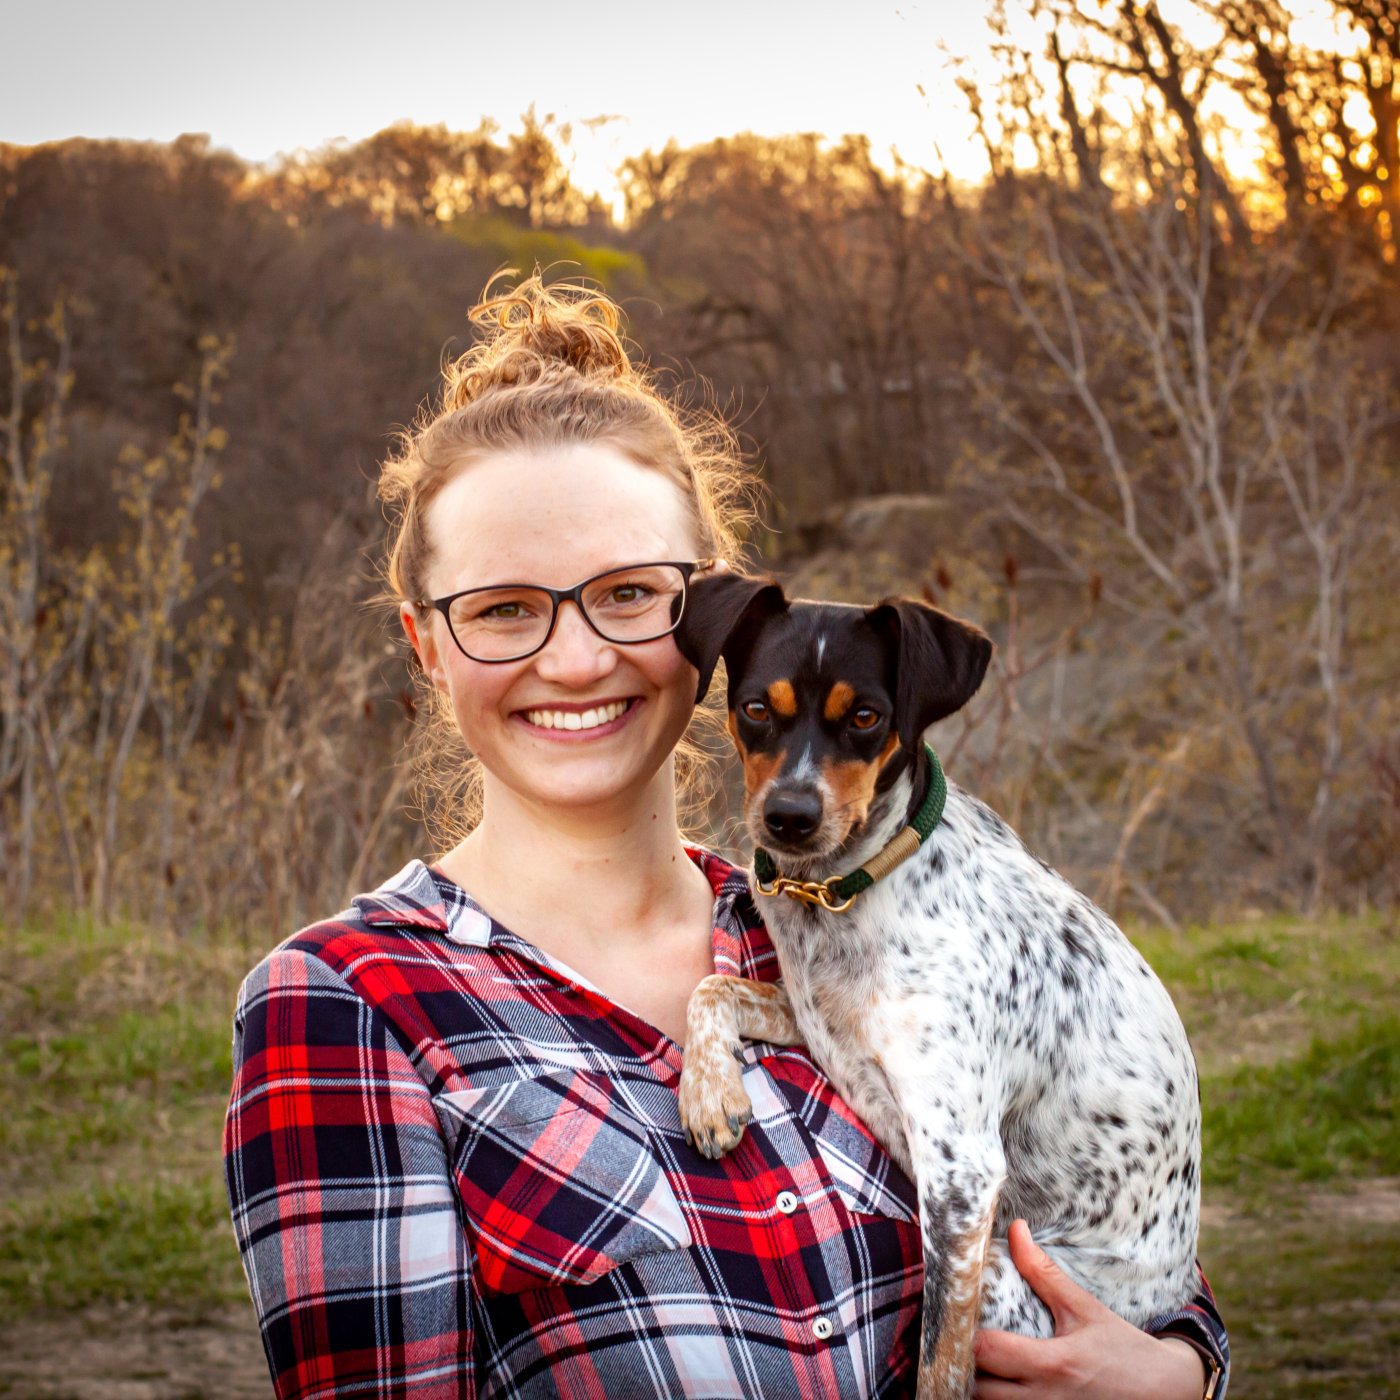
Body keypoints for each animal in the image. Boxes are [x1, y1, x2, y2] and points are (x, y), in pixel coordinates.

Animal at [672, 571, 1198, 1400]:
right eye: (757, 707)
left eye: (865, 717)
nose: (789, 817)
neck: (843, 894)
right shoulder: (817, 1020)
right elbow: (713, 988)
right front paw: (709, 1093)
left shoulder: (959, 1175)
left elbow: (940, 1362)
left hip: (1007, 1281)